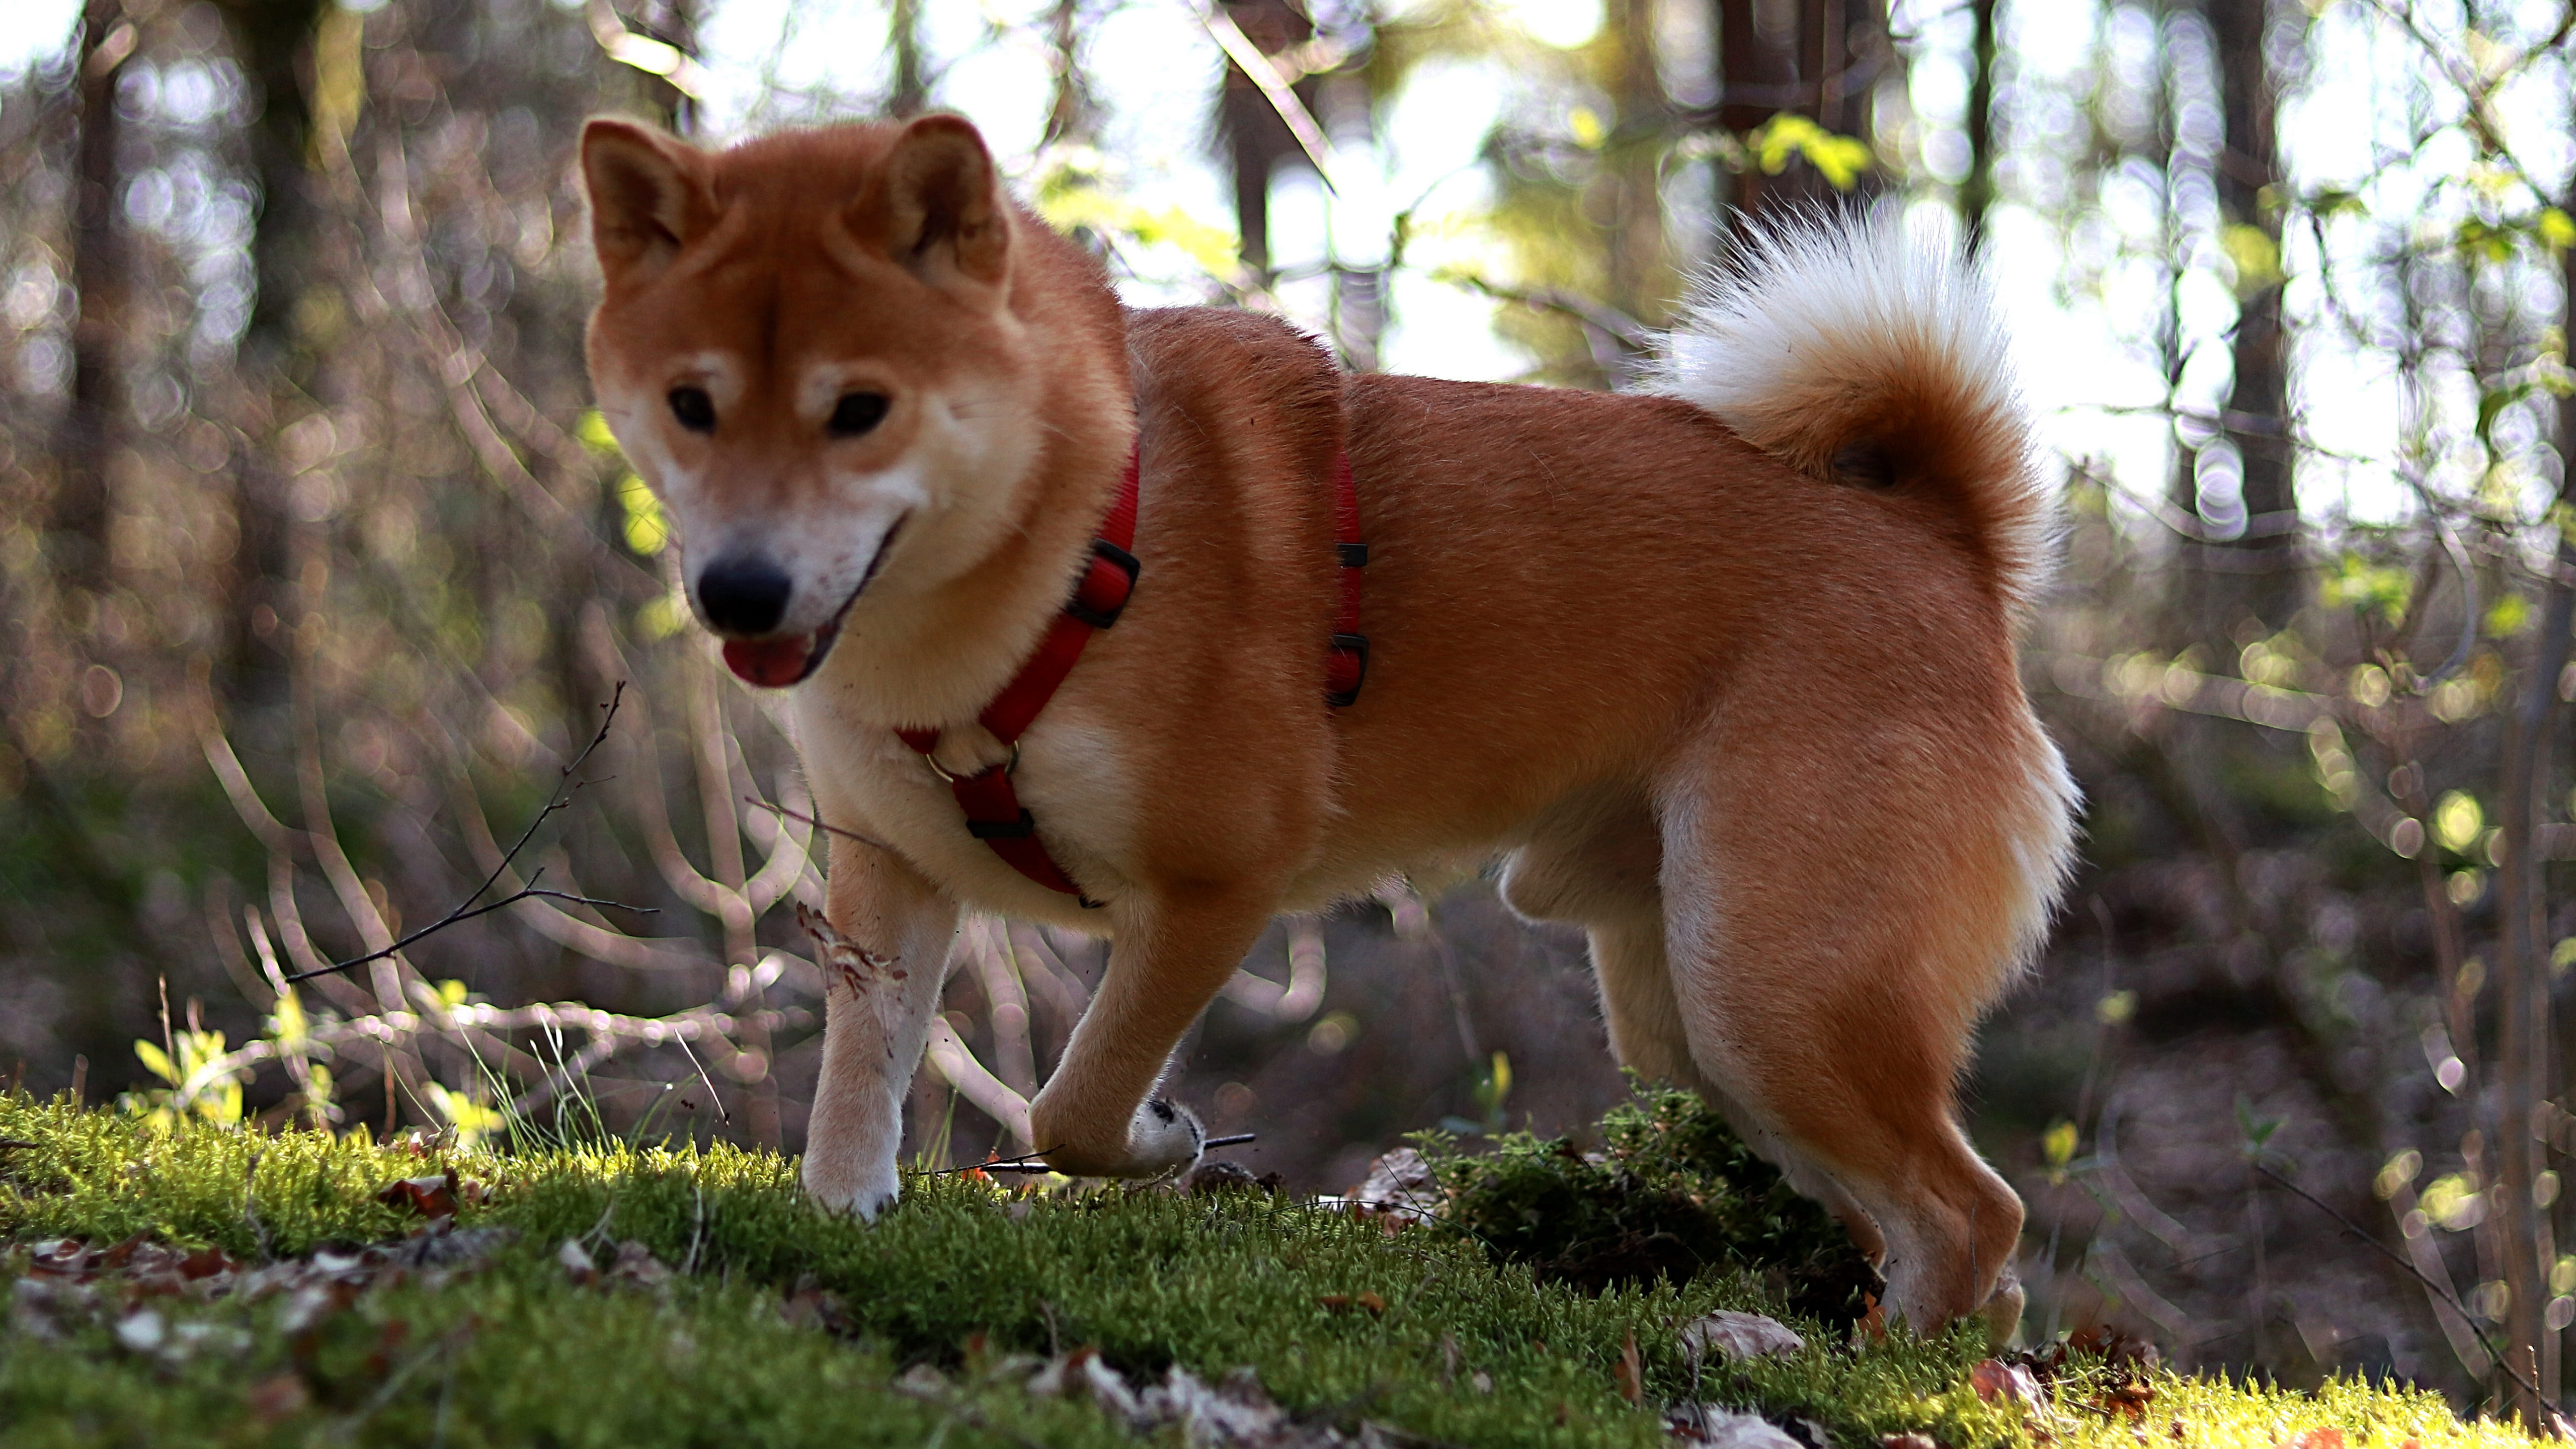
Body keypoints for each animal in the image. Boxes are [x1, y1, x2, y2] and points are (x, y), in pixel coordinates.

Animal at [580, 115, 2071, 1330]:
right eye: (692, 406)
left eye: (861, 409)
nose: (737, 592)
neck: (1076, 543)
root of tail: (1943, 543)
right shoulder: (888, 880)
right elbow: (856, 1094)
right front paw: (841, 1228)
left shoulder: (1215, 885)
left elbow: (1075, 1106)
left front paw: (1165, 1140)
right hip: (1702, 1024)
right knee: (1955, 1241)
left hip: (1770, 989)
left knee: (1971, 1214)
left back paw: (1889, 1371)